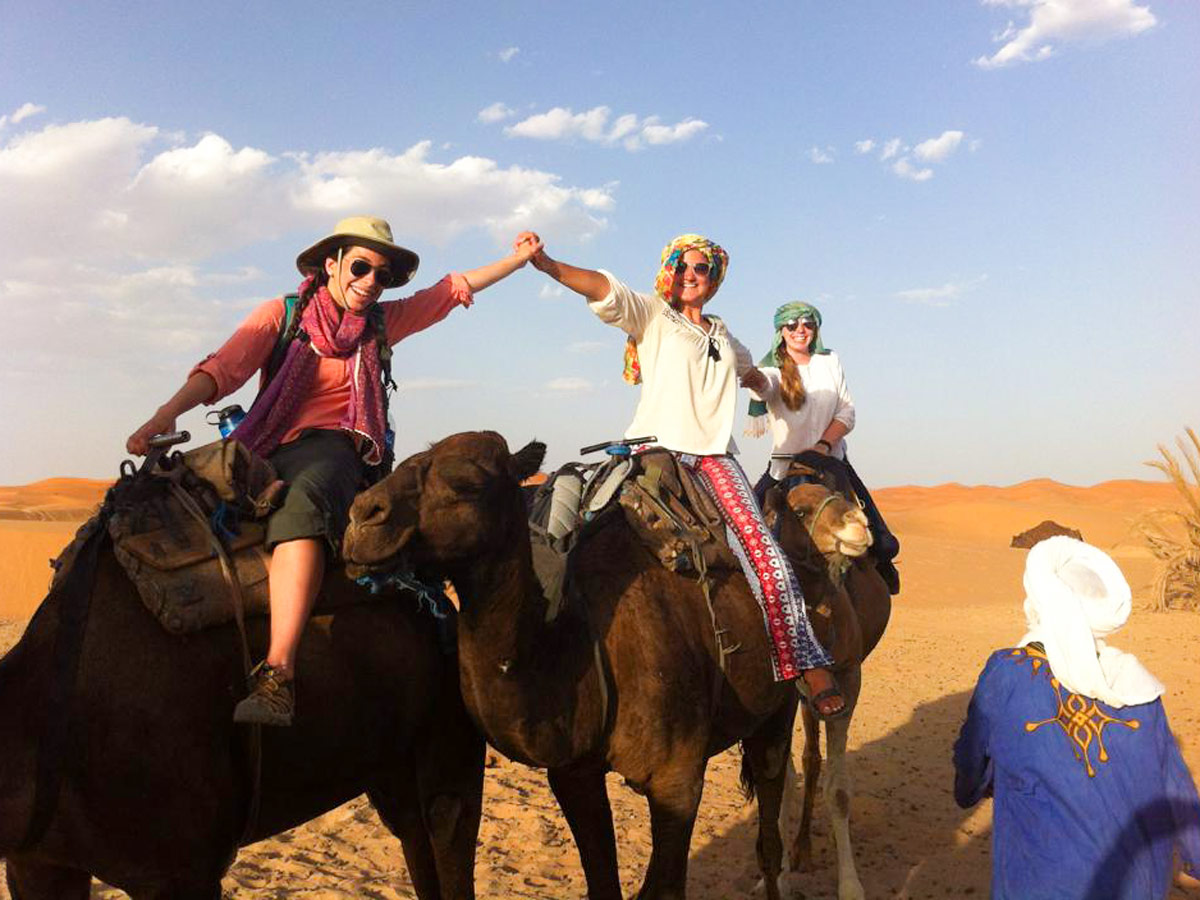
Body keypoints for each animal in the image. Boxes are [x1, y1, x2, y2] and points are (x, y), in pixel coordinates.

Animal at [343, 432, 888, 900]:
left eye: (467, 483)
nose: (360, 518)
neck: (578, 646)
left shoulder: (676, 780)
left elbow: (664, 889)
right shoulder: (574, 775)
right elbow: (604, 885)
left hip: (776, 709)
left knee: (772, 820)